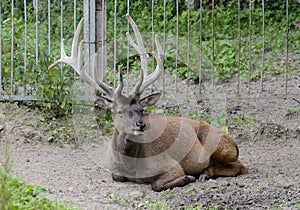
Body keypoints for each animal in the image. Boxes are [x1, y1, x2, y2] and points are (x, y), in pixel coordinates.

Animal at [48, 14, 248, 192]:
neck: (132, 166)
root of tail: (235, 145)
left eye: (141, 108)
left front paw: (187, 177)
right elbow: (117, 176)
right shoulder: (114, 170)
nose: (141, 124)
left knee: (242, 166)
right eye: (118, 111)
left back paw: (205, 173)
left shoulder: (171, 164)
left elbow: (155, 184)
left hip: (218, 143)